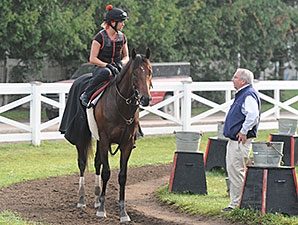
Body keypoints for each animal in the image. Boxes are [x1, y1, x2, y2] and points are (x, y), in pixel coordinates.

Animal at [73, 47, 152, 221]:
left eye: (150, 71)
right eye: (134, 73)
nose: (146, 98)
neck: (121, 105)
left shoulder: (126, 144)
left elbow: (122, 176)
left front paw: (123, 212)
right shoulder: (105, 141)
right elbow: (106, 172)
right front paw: (102, 210)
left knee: (97, 163)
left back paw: (96, 199)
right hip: (83, 137)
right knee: (82, 163)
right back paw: (81, 199)